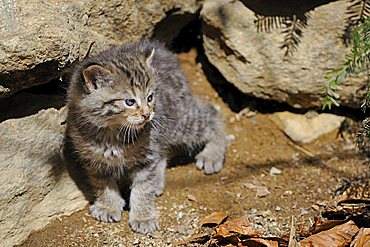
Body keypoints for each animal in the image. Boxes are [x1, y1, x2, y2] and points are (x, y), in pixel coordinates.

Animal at [63, 40, 225, 233]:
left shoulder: (146, 158)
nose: (147, 115)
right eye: (129, 102)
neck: (112, 133)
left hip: (179, 121)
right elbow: (102, 183)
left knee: (212, 113)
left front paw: (143, 217)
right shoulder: (94, 160)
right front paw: (108, 206)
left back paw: (212, 155)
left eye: (150, 97)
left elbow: (143, 187)